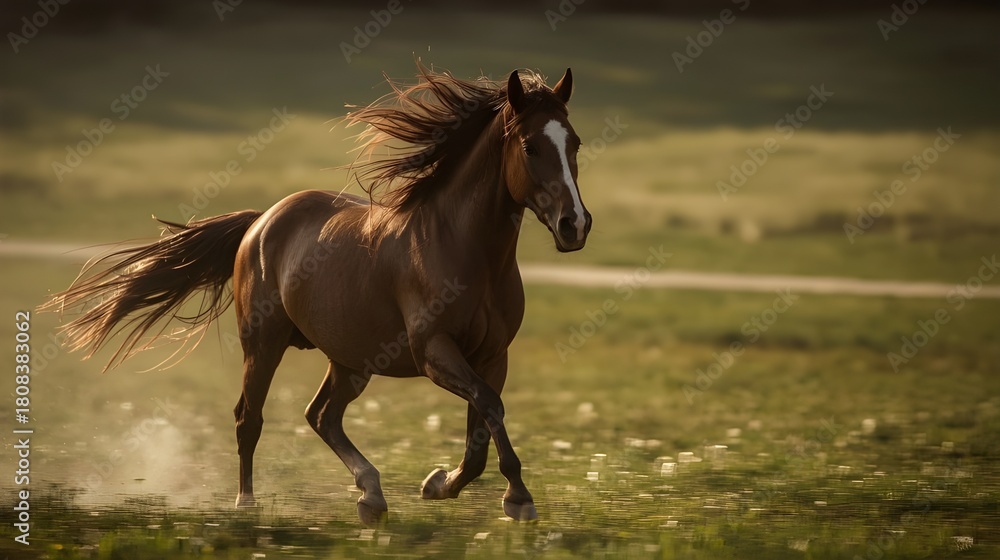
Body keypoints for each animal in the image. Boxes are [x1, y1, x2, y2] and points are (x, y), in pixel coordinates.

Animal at [42, 65, 592, 525]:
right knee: (249, 418)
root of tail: (260, 221)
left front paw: (440, 485)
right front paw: (517, 499)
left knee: (321, 416)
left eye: (575, 144)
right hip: (264, 344)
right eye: (529, 146)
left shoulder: (492, 354)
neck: (462, 248)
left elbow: (482, 426)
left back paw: (371, 494)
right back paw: (247, 506)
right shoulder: (434, 351)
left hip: (351, 361)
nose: (575, 225)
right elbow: (490, 409)